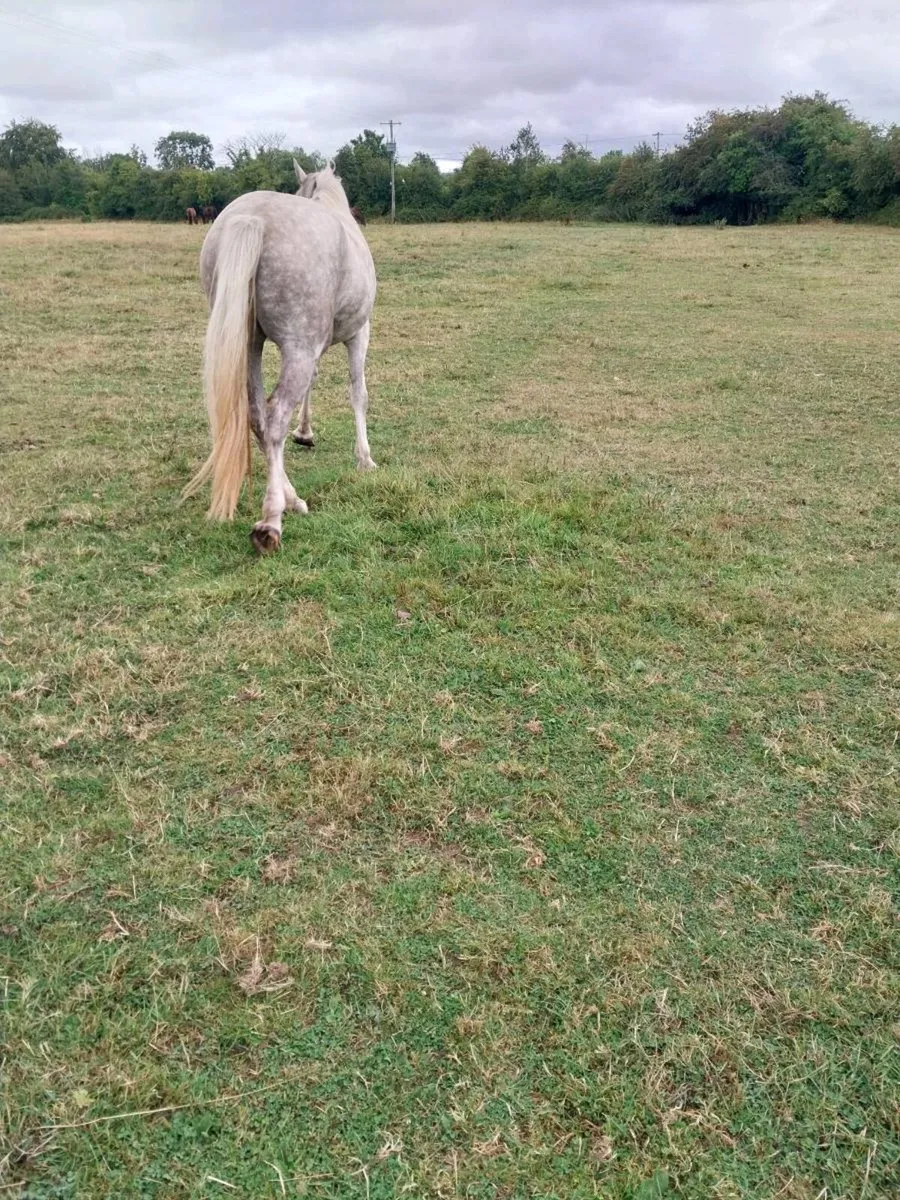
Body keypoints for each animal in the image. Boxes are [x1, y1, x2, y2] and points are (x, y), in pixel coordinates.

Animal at [182, 160, 377, 554]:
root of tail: (253, 219)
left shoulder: (314, 347)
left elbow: (313, 388)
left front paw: (305, 432)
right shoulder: (357, 334)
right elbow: (358, 394)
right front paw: (364, 458)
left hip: (250, 347)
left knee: (259, 418)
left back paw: (291, 499)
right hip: (298, 348)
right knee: (274, 421)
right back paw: (271, 520)